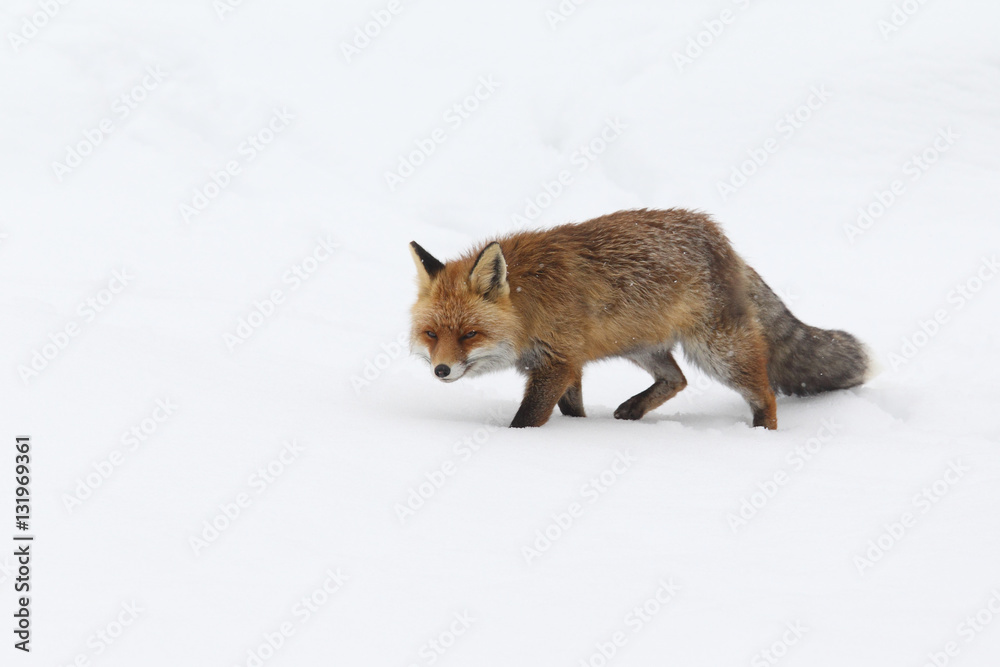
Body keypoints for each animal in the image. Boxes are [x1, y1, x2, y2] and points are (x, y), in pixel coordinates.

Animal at [408, 208, 870, 429]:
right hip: (641, 346)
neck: (529, 303)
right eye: (431, 333)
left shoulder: (556, 363)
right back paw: (635, 409)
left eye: (470, 333)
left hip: (718, 351)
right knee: (677, 379)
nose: (441, 370)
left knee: (765, 393)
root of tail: (719, 237)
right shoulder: (568, 362)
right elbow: (573, 412)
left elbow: (526, 420)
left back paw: (762, 435)